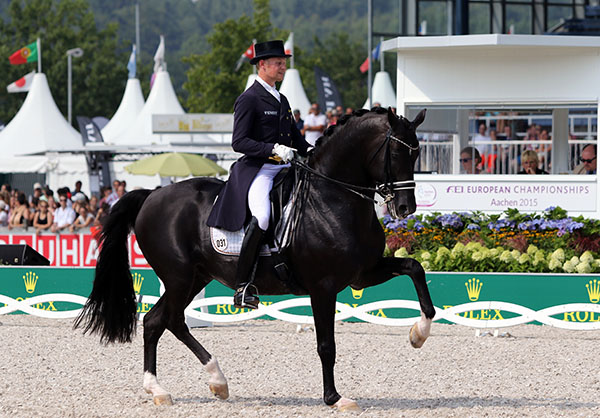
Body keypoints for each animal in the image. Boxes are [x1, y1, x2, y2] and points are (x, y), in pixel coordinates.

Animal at [74, 107, 436, 412]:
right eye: (397, 152)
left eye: (417, 152)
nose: (405, 208)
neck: (332, 198)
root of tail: (152, 194)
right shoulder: (323, 287)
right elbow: (326, 345)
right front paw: (334, 398)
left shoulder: (363, 273)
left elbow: (415, 269)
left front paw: (418, 335)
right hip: (178, 277)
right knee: (164, 320)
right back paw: (177, 386)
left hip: (195, 277)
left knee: (161, 321)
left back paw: (200, 384)